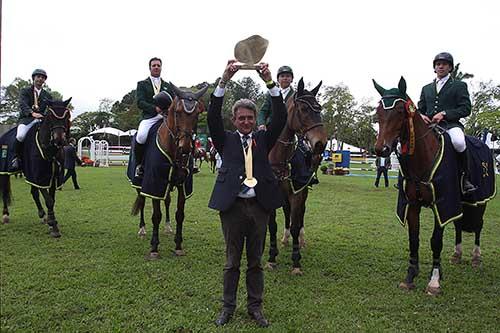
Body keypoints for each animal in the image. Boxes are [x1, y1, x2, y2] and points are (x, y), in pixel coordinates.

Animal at [0, 98, 72, 236]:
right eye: (50, 117)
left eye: (67, 116)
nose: (59, 140)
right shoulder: (39, 176)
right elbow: (49, 200)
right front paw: (53, 225)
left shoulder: (51, 177)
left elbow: (51, 199)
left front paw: (50, 221)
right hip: (4, 172)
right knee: (5, 191)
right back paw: (5, 215)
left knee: (33, 193)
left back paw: (42, 215)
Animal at [132, 83, 208, 256]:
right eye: (178, 113)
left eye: (196, 114)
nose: (185, 147)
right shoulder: (154, 183)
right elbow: (156, 215)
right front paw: (154, 247)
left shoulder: (181, 185)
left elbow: (179, 214)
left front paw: (178, 246)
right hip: (140, 184)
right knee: (142, 200)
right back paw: (142, 229)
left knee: (166, 201)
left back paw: (167, 227)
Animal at [266, 78, 328, 272]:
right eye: (304, 109)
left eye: (319, 108)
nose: (321, 144)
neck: (280, 158)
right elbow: (272, 225)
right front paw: (272, 257)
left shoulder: (298, 192)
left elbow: (295, 223)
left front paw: (296, 262)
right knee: (287, 212)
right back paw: (285, 239)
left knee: (300, 214)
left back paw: (301, 239)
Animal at [374, 77, 494, 294]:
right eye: (378, 111)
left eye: (400, 111)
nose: (381, 149)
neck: (423, 157)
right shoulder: (413, 205)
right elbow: (414, 239)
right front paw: (410, 276)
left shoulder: (443, 204)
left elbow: (436, 242)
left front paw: (434, 281)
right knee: (458, 225)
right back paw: (457, 255)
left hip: (481, 201)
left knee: (479, 226)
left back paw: (475, 257)